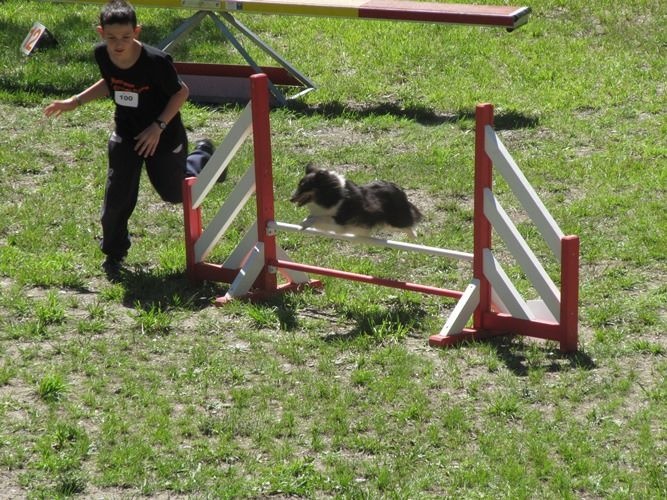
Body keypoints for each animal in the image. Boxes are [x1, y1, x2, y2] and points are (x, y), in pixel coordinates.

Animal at [288, 164, 422, 238]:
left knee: (409, 223)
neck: (332, 195)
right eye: (299, 186)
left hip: (394, 221)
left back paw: (413, 236)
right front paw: (304, 223)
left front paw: (304, 224)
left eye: (304, 187)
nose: (291, 199)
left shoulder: (340, 221)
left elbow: (320, 218)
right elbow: (313, 217)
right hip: (387, 225)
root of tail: (397, 188)